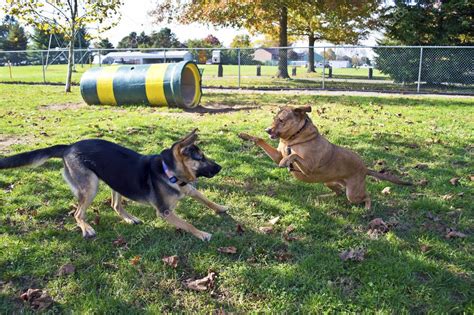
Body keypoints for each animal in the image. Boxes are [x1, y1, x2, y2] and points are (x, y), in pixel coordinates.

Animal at [0, 130, 227, 241]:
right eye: (200, 157)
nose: (220, 167)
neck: (167, 171)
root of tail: (69, 146)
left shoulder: (189, 188)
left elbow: (206, 199)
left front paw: (221, 208)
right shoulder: (165, 212)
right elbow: (187, 224)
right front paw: (202, 234)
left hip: (115, 180)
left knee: (115, 205)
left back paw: (129, 218)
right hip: (91, 187)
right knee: (77, 213)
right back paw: (87, 228)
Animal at [241, 106, 412, 210]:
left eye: (281, 120)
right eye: (274, 119)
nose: (267, 130)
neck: (294, 138)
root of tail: (365, 168)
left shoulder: (308, 167)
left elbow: (294, 155)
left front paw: (286, 161)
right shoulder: (277, 154)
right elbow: (260, 140)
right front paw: (245, 135)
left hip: (353, 194)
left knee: (366, 196)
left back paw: (367, 208)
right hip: (329, 182)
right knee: (338, 193)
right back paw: (324, 196)